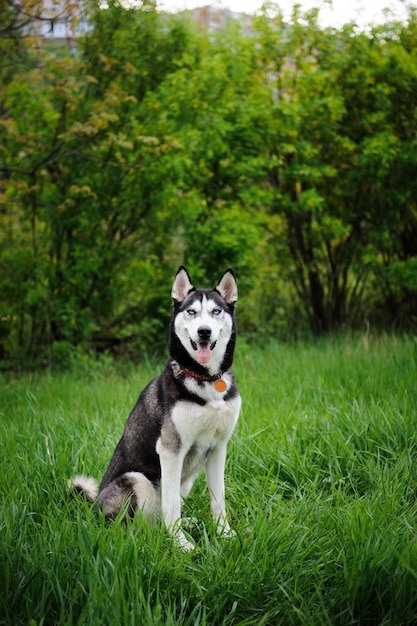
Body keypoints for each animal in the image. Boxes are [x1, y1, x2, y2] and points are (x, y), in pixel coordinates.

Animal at [71, 266, 240, 548]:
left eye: (216, 311)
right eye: (191, 312)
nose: (204, 331)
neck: (205, 379)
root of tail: (94, 507)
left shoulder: (218, 447)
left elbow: (219, 499)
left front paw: (224, 533)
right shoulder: (171, 451)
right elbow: (170, 505)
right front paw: (181, 545)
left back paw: (187, 524)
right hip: (136, 479)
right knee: (137, 526)